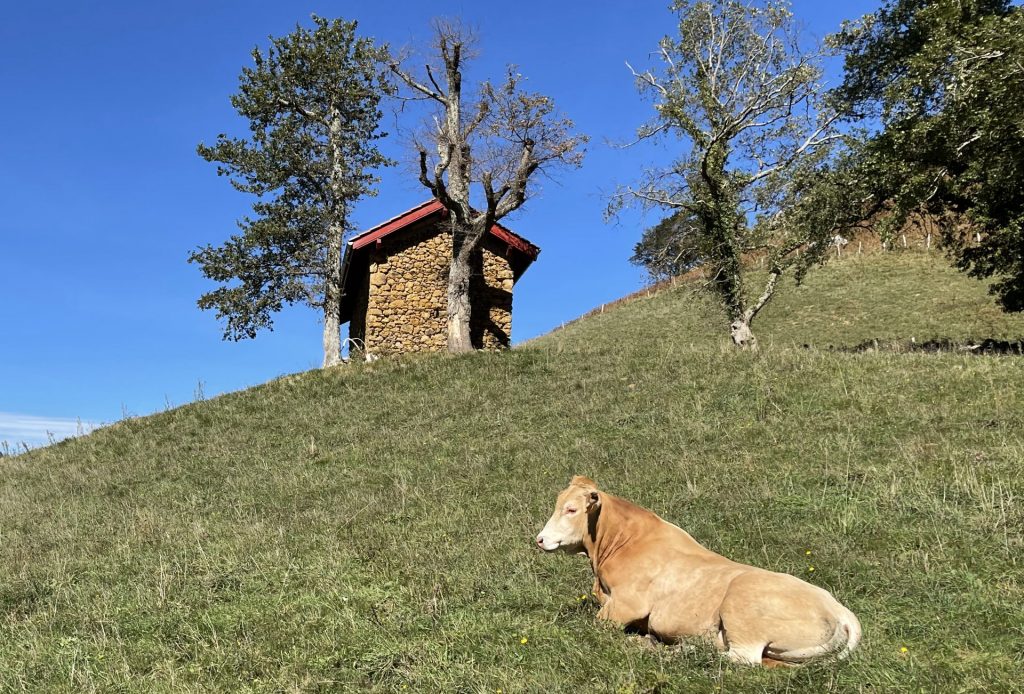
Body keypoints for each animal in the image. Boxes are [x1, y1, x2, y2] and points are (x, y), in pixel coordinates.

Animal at [535, 476, 861, 667]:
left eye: (571, 510)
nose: (539, 539)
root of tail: (840, 609)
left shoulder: (626, 605)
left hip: (742, 607)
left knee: (743, 658)